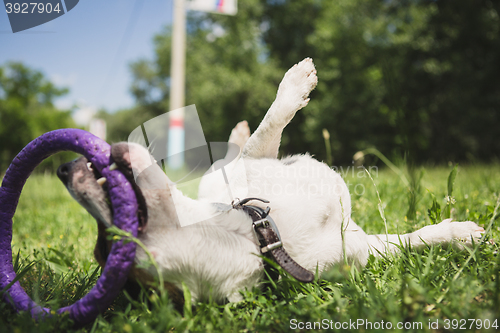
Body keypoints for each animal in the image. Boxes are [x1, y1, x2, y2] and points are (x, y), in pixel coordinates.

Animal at [57, 57, 484, 304]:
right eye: (106, 244)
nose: (65, 169)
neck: (256, 232)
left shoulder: (358, 240)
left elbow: (415, 238)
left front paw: (458, 234)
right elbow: (268, 130)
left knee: (232, 153)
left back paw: (237, 130)